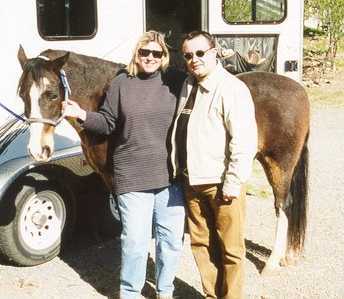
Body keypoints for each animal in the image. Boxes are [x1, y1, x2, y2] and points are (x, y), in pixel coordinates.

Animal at [16, 46, 310, 274]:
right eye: (22, 94)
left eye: (52, 94)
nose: (37, 149)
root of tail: (298, 89)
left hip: (279, 164)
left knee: (283, 205)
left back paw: (273, 261)